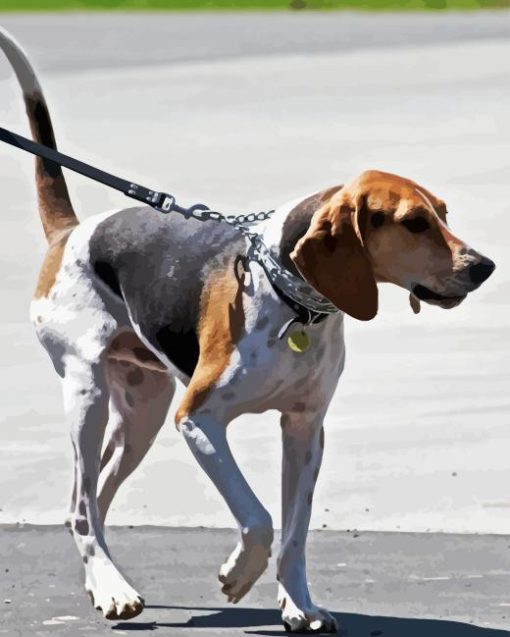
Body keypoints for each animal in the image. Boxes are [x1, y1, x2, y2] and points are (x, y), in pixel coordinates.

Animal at [0, 28, 494, 632]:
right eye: (414, 223)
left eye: (443, 213)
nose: (484, 266)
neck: (293, 300)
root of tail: (71, 231)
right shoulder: (199, 419)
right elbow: (257, 518)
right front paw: (237, 575)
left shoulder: (305, 428)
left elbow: (295, 533)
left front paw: (299, 605)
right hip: (88, 394)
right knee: (80, 504)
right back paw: (113, 589)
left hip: (141, 413)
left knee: (93, 499)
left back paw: (106, 581)